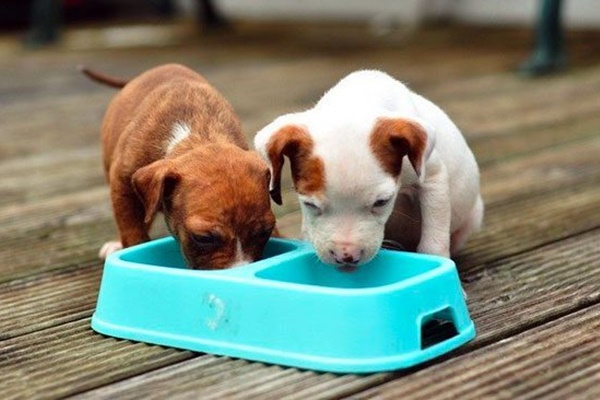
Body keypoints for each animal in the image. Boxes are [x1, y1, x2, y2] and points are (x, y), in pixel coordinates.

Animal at [84, 63, 276, 268]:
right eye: (203, 238)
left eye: (265, 232)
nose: (238, 269)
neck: (200, 134)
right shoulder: (123, 185)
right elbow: (132, 229)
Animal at [254, 69, 482, 268]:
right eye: (309, 204)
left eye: (382, 202)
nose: (346, 257)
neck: (357, 101)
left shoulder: (433, 179)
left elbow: (434, 238)